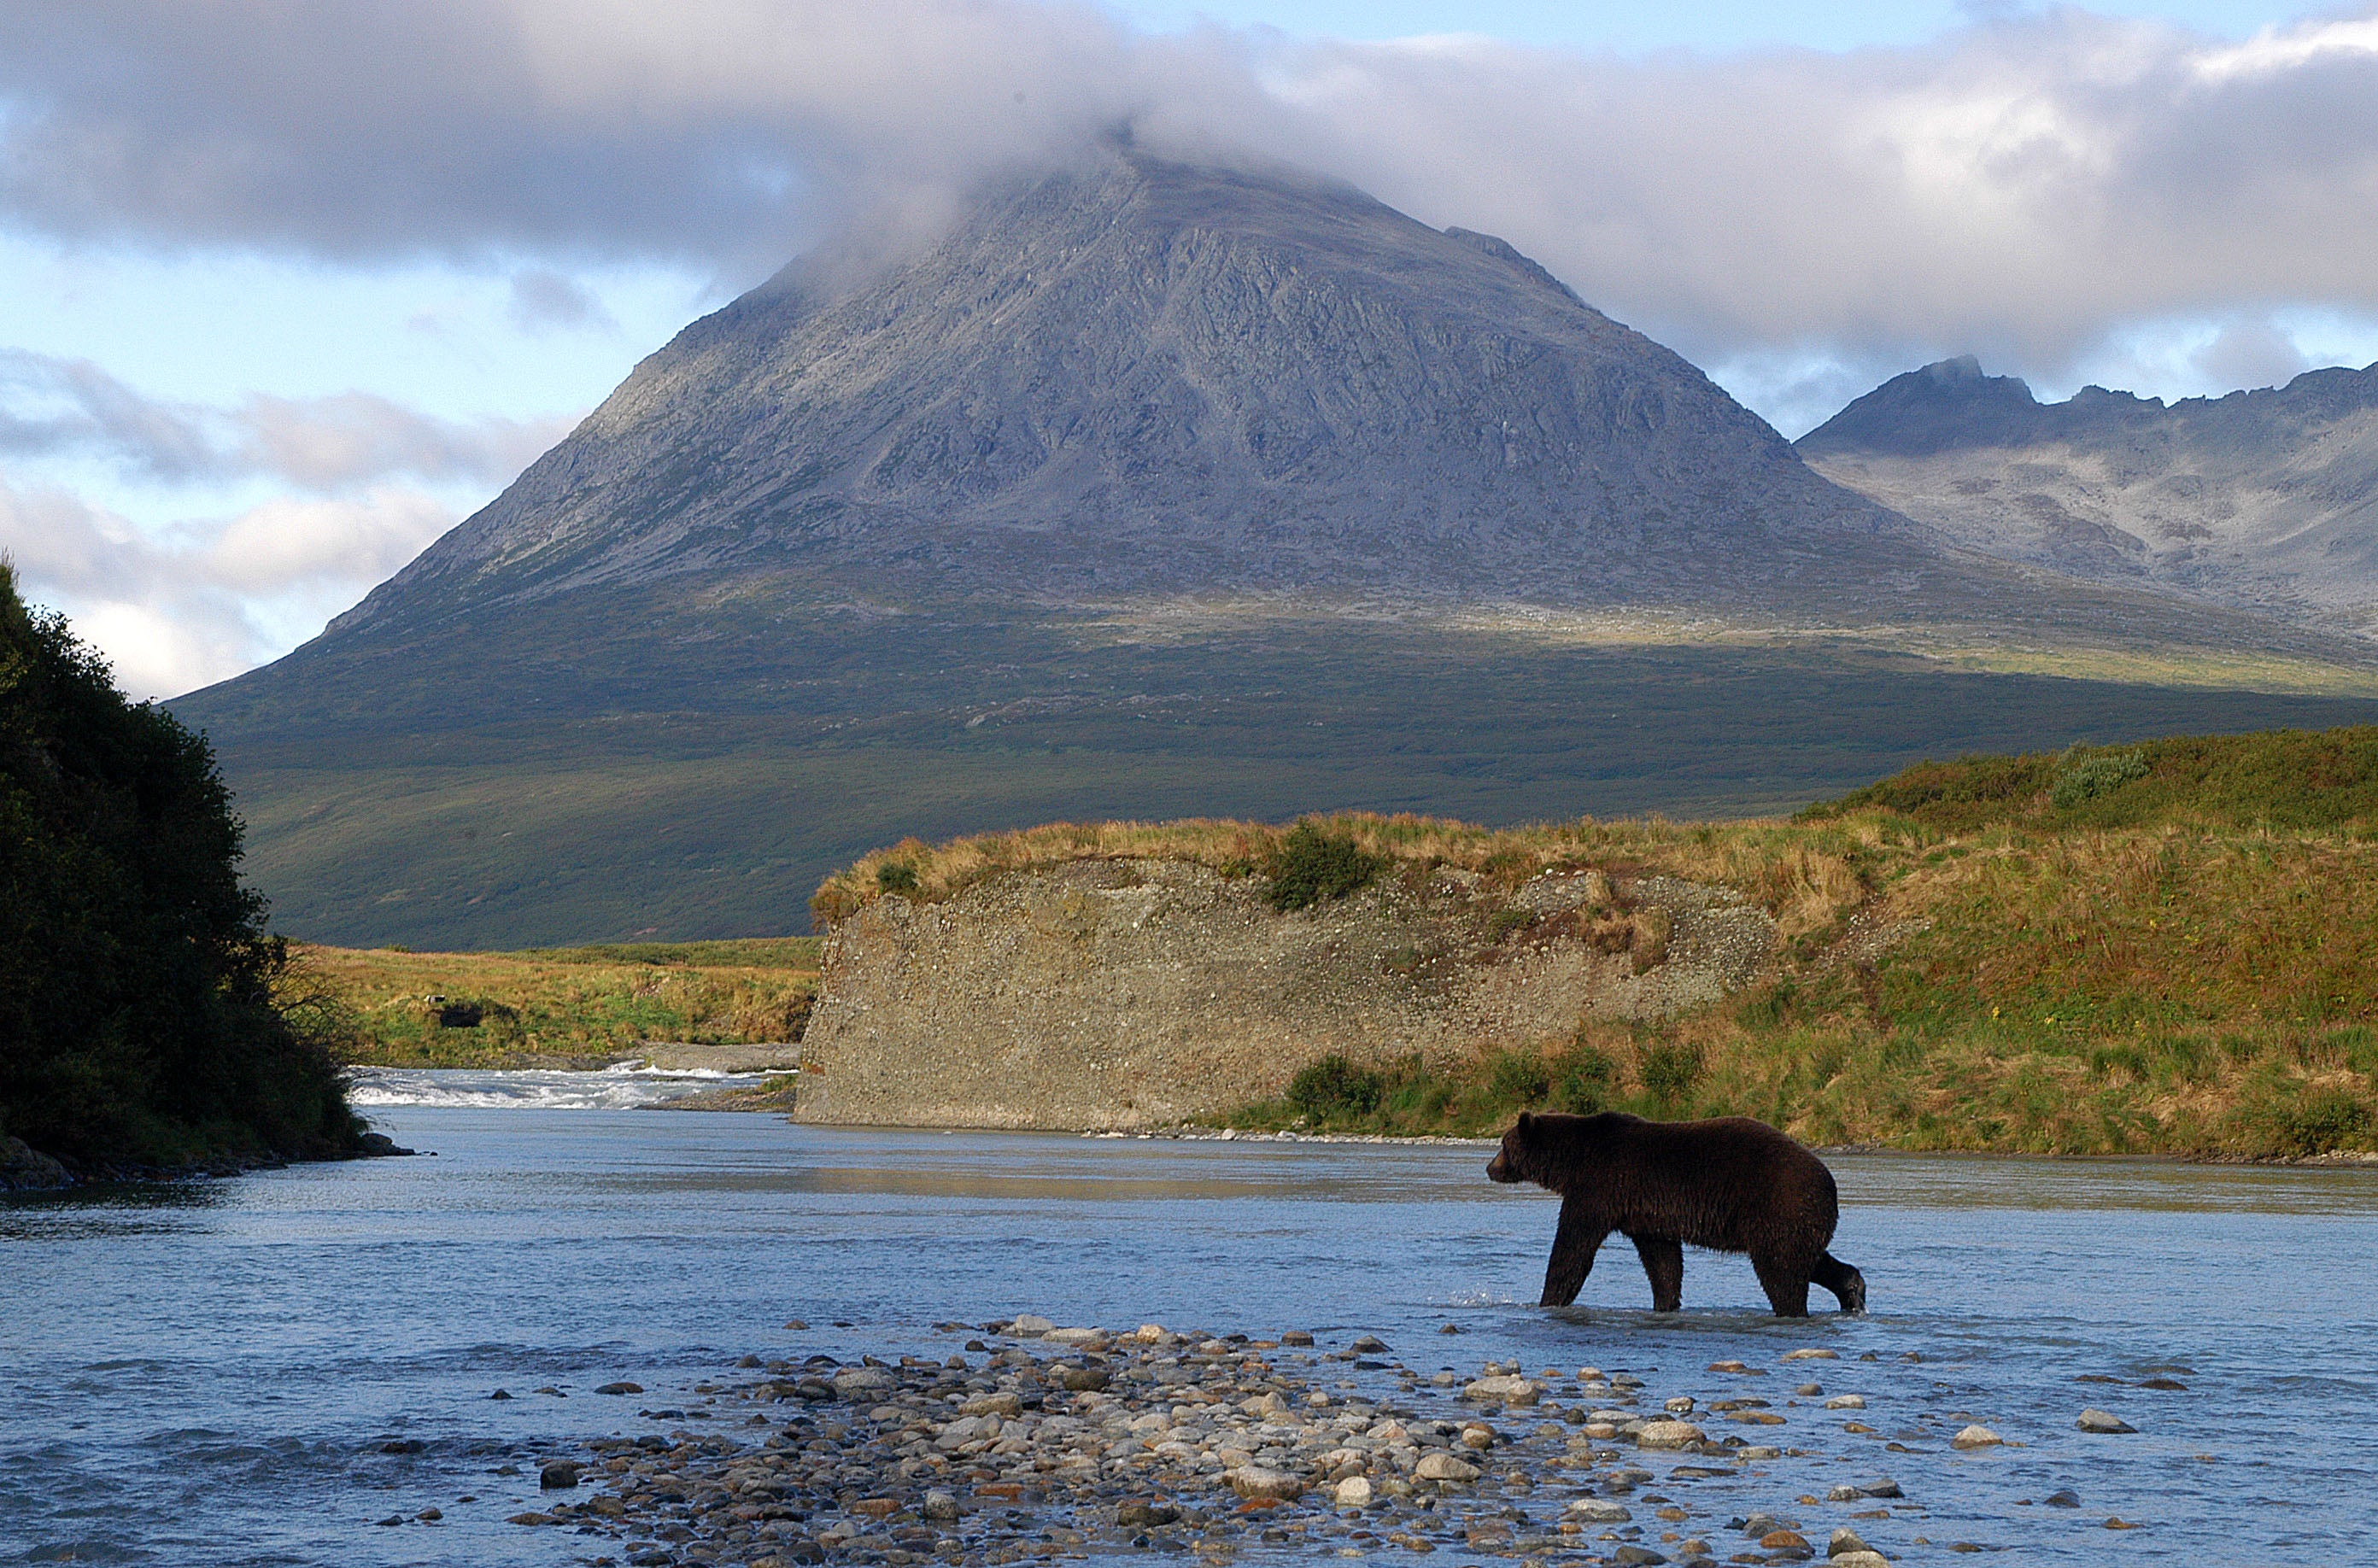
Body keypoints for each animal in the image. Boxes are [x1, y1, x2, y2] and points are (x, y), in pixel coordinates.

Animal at [1487, 1109, 1865, 1317]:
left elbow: (1573, 1248)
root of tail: (1829, 1182)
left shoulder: (1601, 1186)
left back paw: (1793, 1309)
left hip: (1776, 1206)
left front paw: (1548, 1299)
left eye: (1503, 1145)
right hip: (1794, 1219)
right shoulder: (1645, 1212)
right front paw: (1666, 1303)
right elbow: (1663, 1261)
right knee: (1809, 1259)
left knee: (1781, 1272)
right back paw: (1852, 1290)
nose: (1490, 1168)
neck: (1573, 1159)